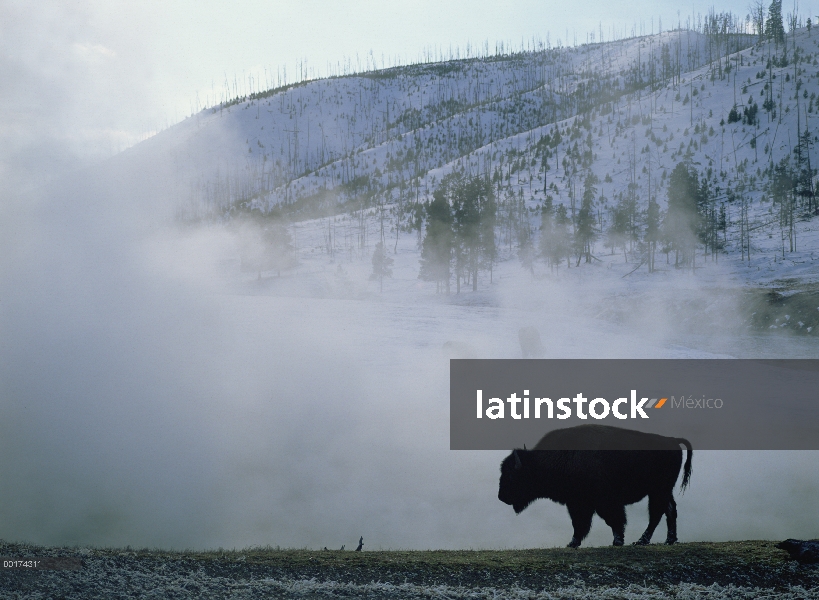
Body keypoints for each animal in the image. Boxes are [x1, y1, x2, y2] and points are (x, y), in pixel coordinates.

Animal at [496, 424, 696, 548]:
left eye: (512, 474)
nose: (501, 497)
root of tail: (671, 440)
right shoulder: (577, 503)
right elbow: (580, 524)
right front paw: (573, 543)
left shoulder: (601, 502)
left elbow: (611, 520)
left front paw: (617, 541)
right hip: (664, 490)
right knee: (669, 510)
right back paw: (669, 540)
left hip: (658, 490)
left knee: (656, 513)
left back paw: (642, 541)